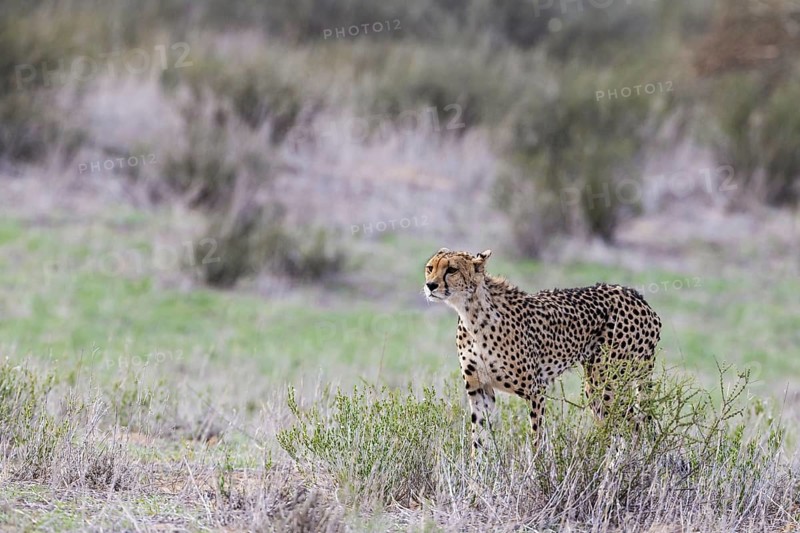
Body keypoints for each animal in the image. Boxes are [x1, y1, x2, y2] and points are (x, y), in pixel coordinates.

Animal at [423, 248, 662, 452]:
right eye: (430, 268)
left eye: (451, 270)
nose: (430, 285)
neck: (471, 313)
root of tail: (637, 297)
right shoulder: (480, 389)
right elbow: (478, 441)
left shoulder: (535, 389)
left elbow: (537, 439)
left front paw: (537, 472)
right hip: (598, 386)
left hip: (607, 382)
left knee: (633, 425)